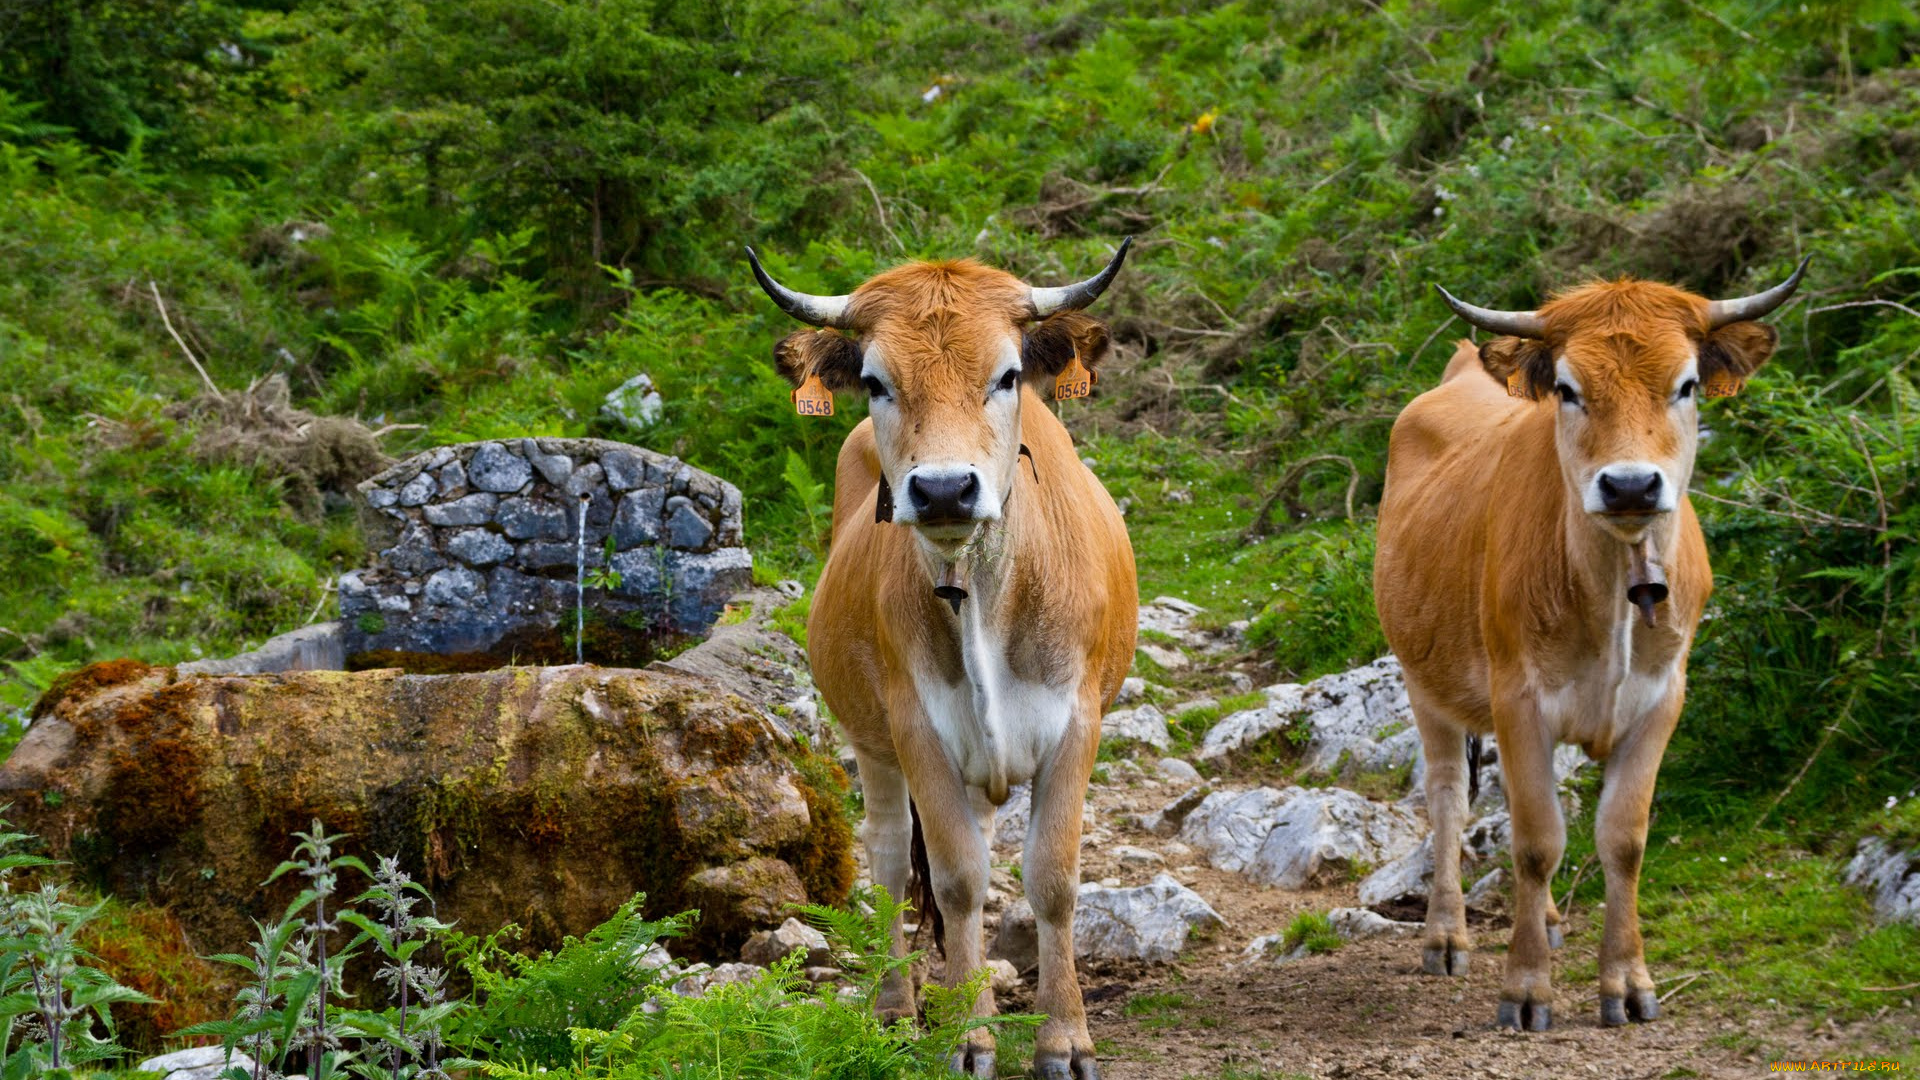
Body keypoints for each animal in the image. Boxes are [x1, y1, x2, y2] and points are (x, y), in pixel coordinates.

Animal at [748, 241, 1138, 1079]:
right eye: (874, 381)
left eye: (1008, 374)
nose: (945, 489)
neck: (984, 594)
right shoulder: (915, 727)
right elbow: (957, 881)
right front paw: (969, 1038)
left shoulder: (1076, 721)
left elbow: (1052, 878)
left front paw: (1065, 1039)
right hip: (873, 743)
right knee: (893, 859)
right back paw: (898, 1006)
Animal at [1374, 261, 1808, 1031]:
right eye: (1569, 389)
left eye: (1686, 384)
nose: (1630, 483)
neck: (1613, 595)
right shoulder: (1518, 699)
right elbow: (1536, 841)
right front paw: (1525, 990)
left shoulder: (1661, 700)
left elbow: (1622, 839)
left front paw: (1627, 983)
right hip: (1426, 684)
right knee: (1450, 796)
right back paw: (1447, 936)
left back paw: (1544, 920)